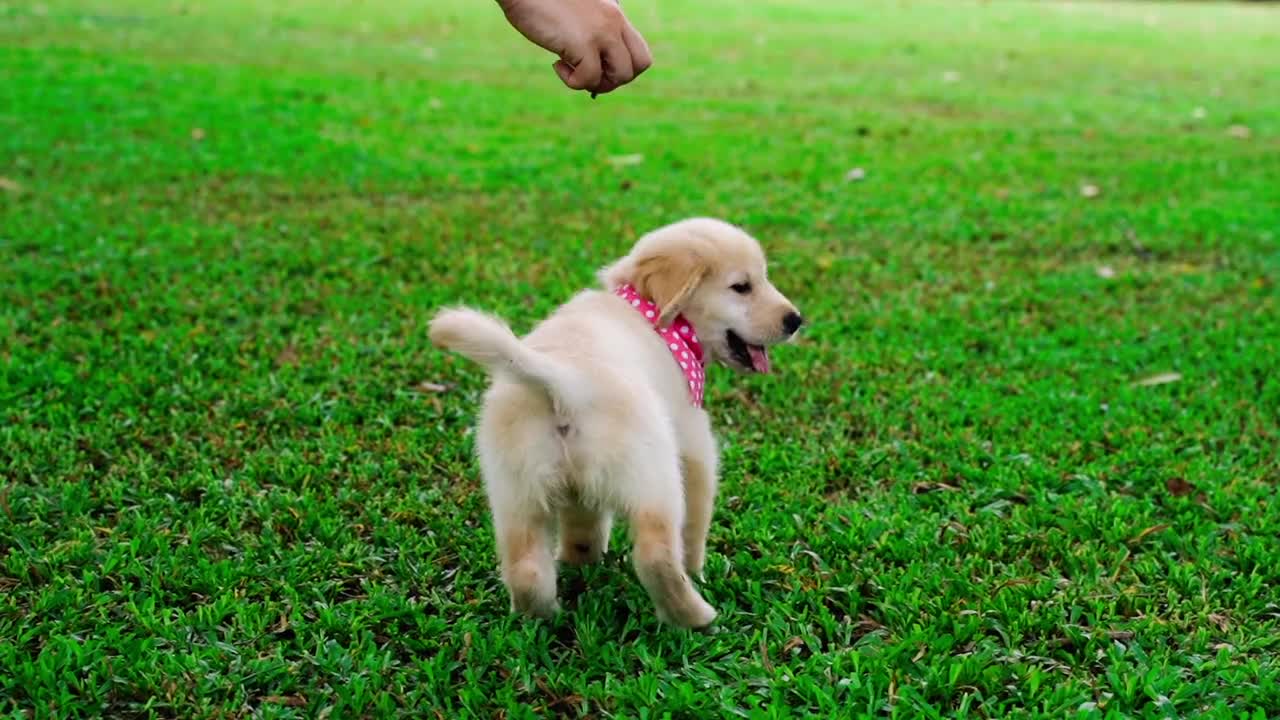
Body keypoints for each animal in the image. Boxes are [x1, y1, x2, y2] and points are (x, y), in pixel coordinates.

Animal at [430, 215, 798, 625]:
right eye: (742, 287)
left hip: (516, 490)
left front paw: (581, 562)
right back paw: (696, 616)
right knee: (655, 555)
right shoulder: (694, 443)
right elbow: (695, 523)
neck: (650, 313)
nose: (795, 320)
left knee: (526, 567)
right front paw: (698, 569)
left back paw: (544, 616)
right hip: (653, 475)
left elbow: (583, 525)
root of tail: (564, 381)